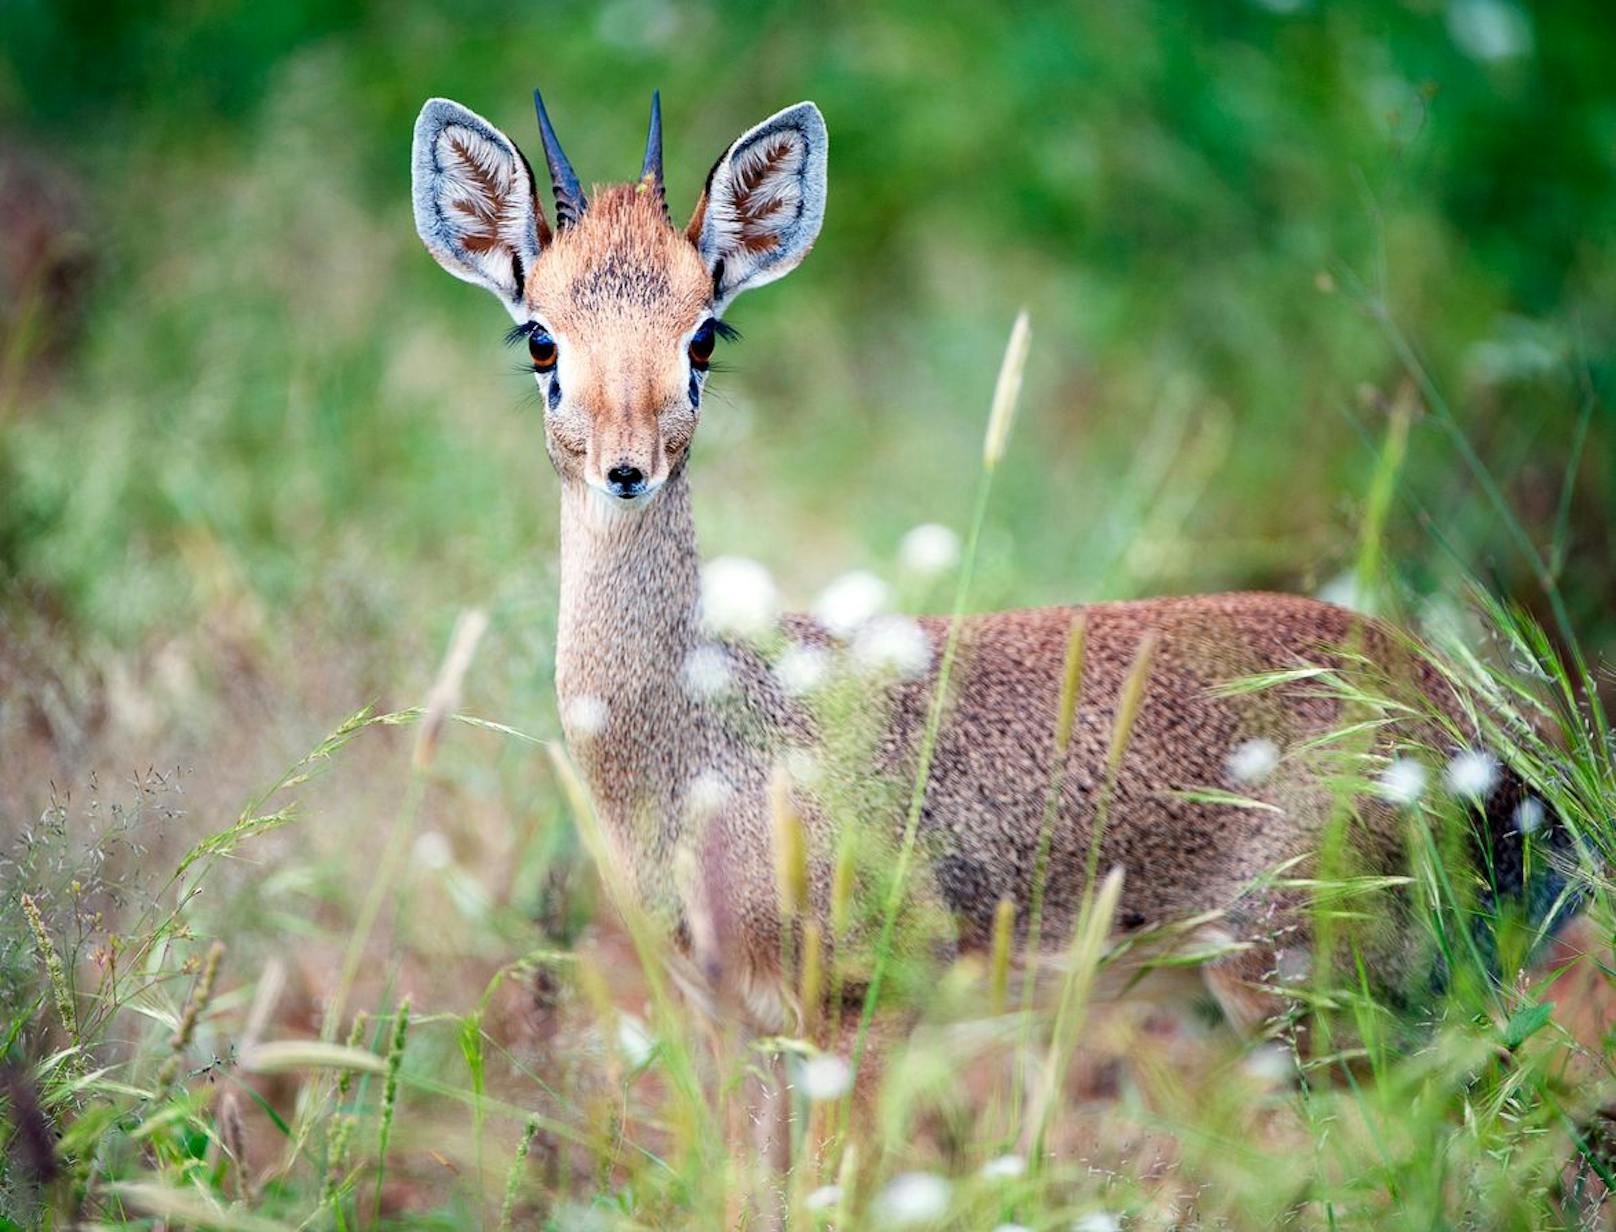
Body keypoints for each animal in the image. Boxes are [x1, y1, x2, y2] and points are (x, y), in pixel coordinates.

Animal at [410, 91, 1570, 1034]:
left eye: (704, 334)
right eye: (540, 337)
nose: (627, 466)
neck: (709, 730)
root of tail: (1469, 729)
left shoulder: (859, 1009)